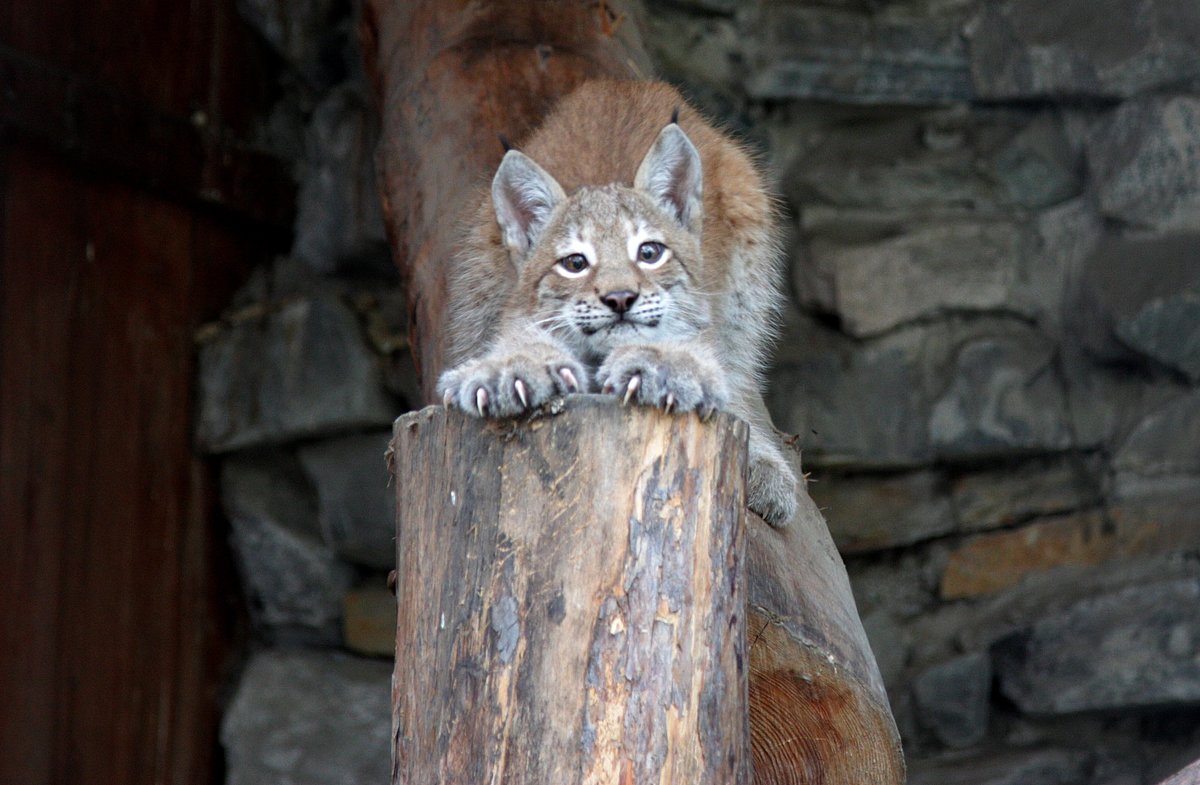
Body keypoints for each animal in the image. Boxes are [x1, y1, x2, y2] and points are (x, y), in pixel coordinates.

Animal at [439, 81, 796, 528]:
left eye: (649, 253)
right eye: (575, 264)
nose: (621, 298)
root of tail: (622, 86)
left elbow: (695, 353)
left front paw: (662, 365)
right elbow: (520, 337)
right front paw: (509, 369)